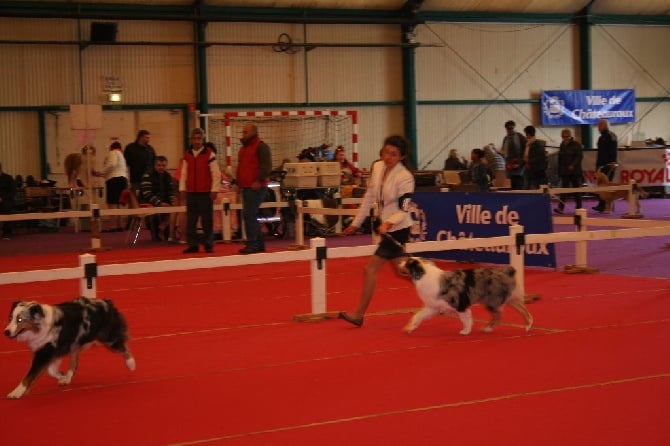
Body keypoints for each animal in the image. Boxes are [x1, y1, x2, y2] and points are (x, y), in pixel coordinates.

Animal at [3, 298, 136, 398]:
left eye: (20, 319)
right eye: (10, 318)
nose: (6, 332)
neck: (39, 326)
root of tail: (107, 302)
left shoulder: (46, 352)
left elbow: (29, 376)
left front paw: (16, 393)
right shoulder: (54, 351)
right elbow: (51, 370)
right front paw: (62, 376)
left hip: (109, 338)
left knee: (123, 348)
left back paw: (131, 364)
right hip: (76, 343)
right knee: (74, 362)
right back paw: (67, 377)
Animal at [400, 254, 536, 334]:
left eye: (407, 263)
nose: (399, 262)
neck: (424, 275)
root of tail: (508, 271)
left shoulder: (460, 303)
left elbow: (465, 319)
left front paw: (466, 331)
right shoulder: (433, 306)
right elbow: (418, 315)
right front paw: (410, 327)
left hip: (491, 300)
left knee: (498, 315)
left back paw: (488, 328)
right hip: (508, 298)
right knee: (523, 309)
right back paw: (528, 325)